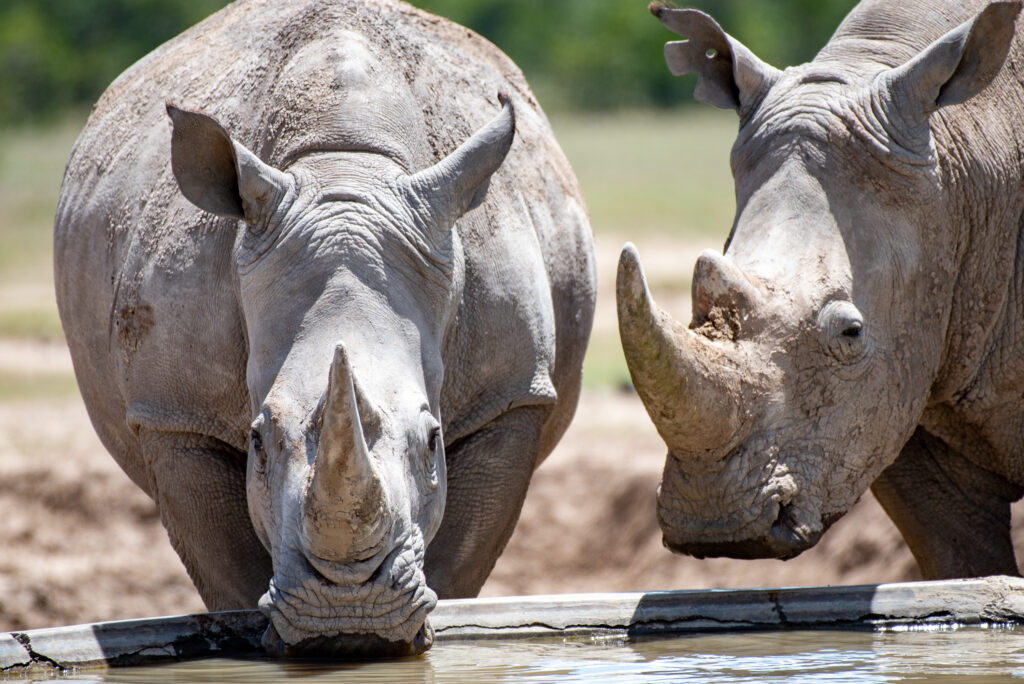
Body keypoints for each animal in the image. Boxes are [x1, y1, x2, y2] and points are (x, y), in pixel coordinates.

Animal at [56, 0, 598, 659]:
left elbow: (461, 564)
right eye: (258, 441)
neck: (344, 167)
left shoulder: (509, 397)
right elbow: (227, 573)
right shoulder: (176, 413)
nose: (348, 612)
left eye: (434, 440)